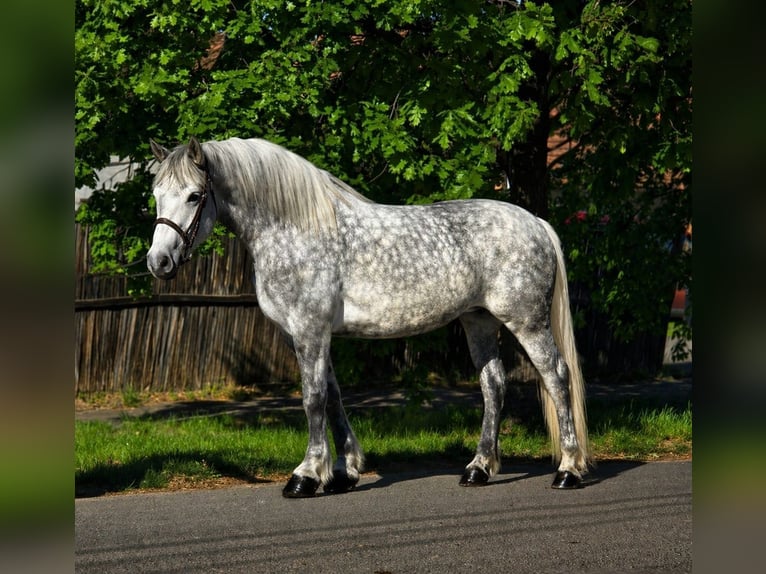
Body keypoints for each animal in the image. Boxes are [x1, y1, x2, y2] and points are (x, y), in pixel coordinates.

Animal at [147, 136, 591, 498]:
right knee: (493, 385)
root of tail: (536, 222)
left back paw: (568, 470)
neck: (293, 228)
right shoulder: (308, 334)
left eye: (194, 196)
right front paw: (344, 472)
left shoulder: (309, 330)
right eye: (156, 194)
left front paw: (306, 476)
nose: (158, 261)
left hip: (527, 322)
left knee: (557, 376)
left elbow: (312, 399)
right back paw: (478, 469)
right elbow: (333, 398)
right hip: (478, 321)